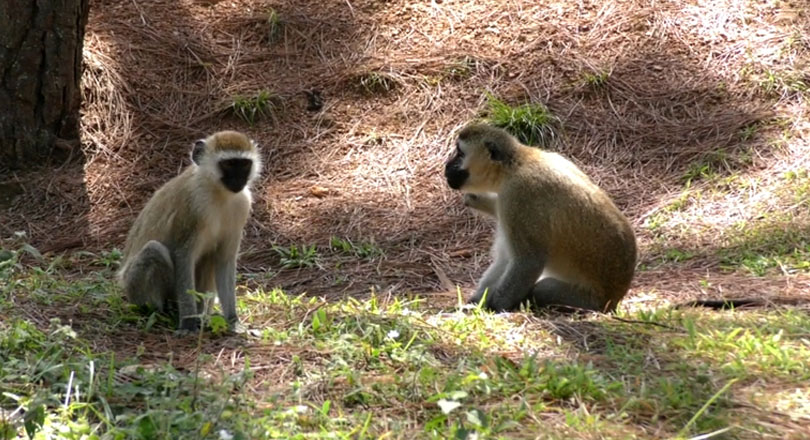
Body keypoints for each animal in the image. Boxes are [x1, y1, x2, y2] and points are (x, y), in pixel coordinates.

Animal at [118, 130, 261, 331]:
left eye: (244, 164)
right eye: (228, 164)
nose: (238, 180)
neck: (217, 193)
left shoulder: (242, 204)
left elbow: (224, 260)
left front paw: (233, 320)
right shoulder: (192, 206)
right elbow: (183, 256)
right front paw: (188, 322)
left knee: (209, 258)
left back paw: (203, 316)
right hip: (133, 287)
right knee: (154, 250)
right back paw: (163, 312)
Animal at [444, 123, 637, 313]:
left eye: (460, 154)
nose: (447, 165)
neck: (514, 166)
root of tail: (615, 297)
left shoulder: (519, 197)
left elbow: (529, 262)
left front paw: (492, 308)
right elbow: (506, 258)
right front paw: (477, 301)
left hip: (587, 299)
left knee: (541, 289)